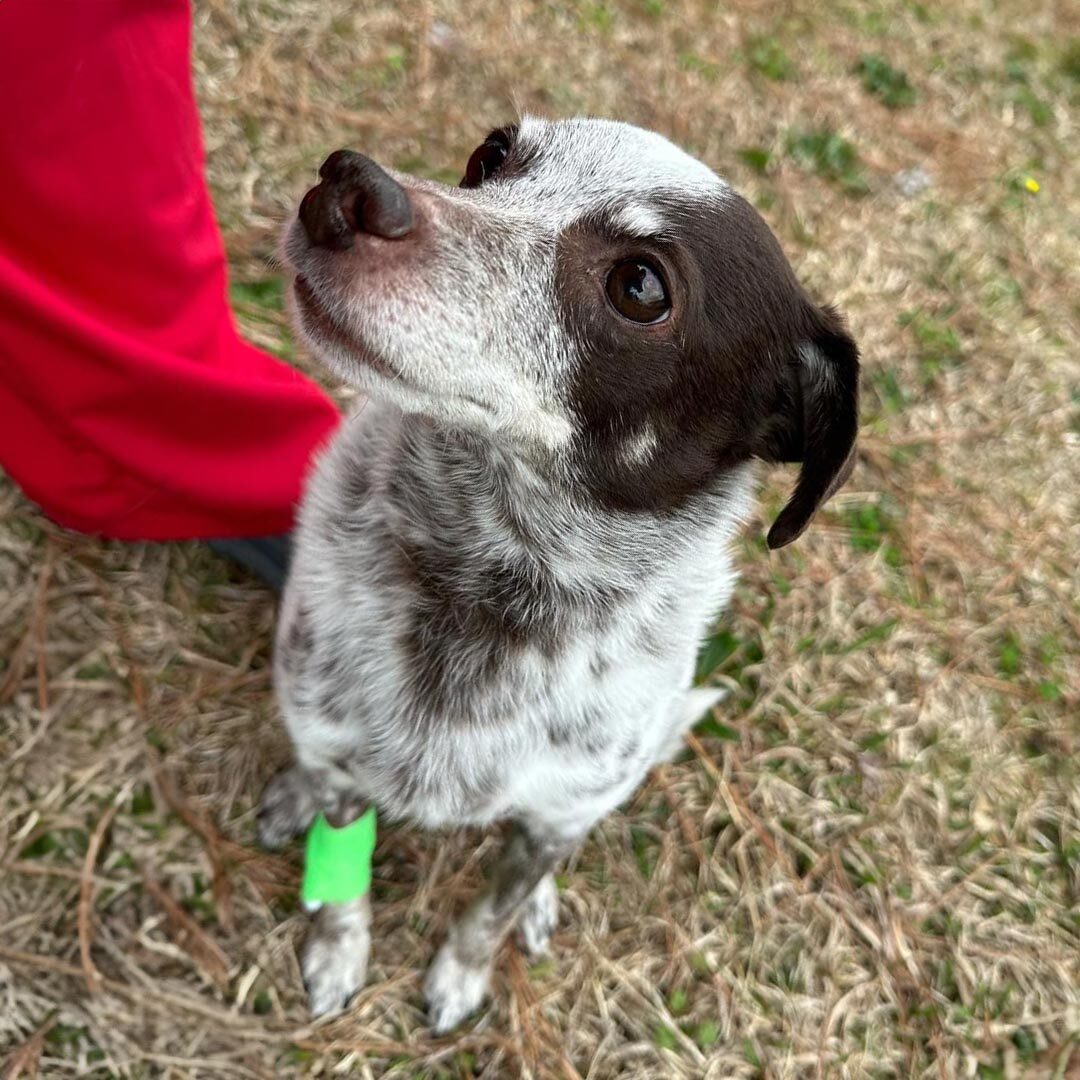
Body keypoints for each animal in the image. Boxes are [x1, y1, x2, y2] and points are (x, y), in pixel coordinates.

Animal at [261, 116, 859, 1028]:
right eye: (492, 156)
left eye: (641, 286)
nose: (349, 187)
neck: (490, 593)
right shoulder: (340, 753)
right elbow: (343, 875)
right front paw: (338, 948)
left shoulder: (557, 815)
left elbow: (494, 908)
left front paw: (464, 971)